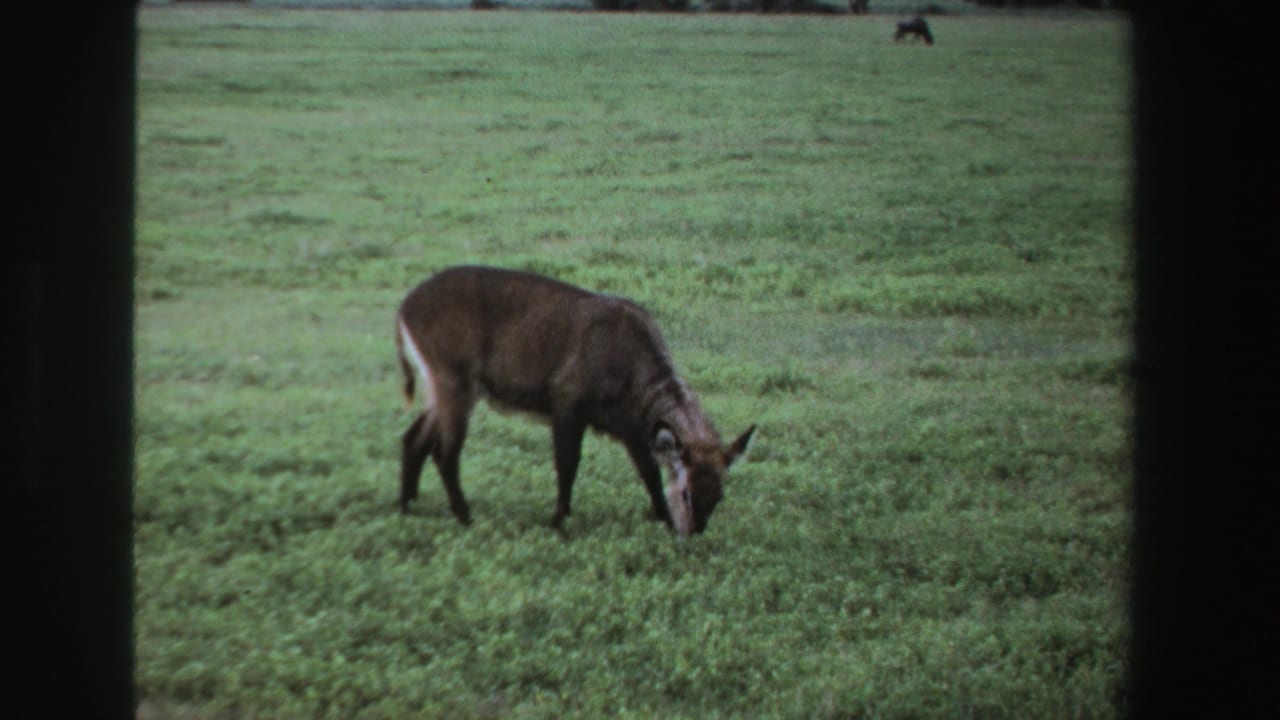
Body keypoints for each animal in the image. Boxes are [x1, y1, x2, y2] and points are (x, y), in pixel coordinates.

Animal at [395, 265, 756, 538]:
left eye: (720, 494)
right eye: (687, 492)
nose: (693, 533)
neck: (630, 364)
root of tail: (404, 308)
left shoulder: (633, 430)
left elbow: (650, 475)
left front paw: (663, 521)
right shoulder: (567, 403)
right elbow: (568, 464)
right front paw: (558, 522)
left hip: (446, 387)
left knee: (413, 438)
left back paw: (406, 506)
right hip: (454, 381)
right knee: (445, 452)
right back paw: (464, 516)